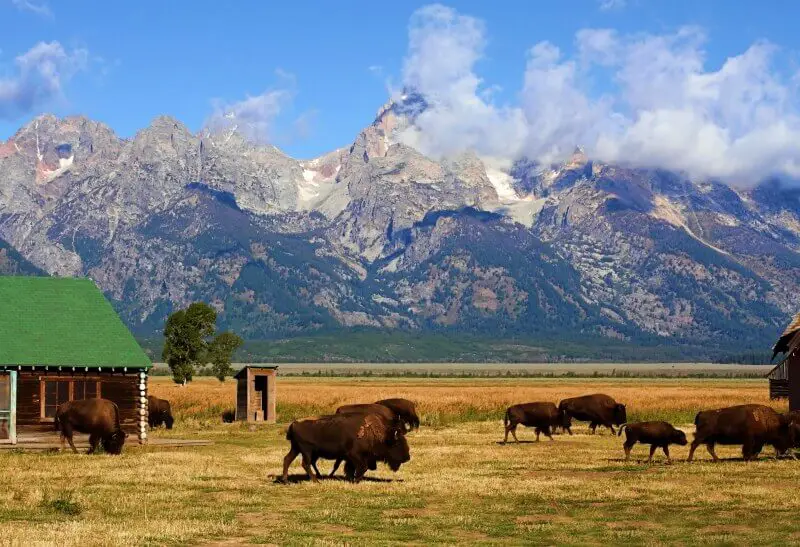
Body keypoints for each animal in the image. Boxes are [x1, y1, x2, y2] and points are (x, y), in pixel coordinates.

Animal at [282, 412, 410, 484]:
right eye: (397, 444)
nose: (407, 457)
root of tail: (294, 424)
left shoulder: (350, 459)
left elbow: (351, 468)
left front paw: (351, 478)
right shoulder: (354, 455)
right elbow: (363, 467)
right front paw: (356, 480)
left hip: (296, 449)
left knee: (287, 459)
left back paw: (286, 481)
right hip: (306, 451)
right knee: (305, 464)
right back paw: (316, 480)